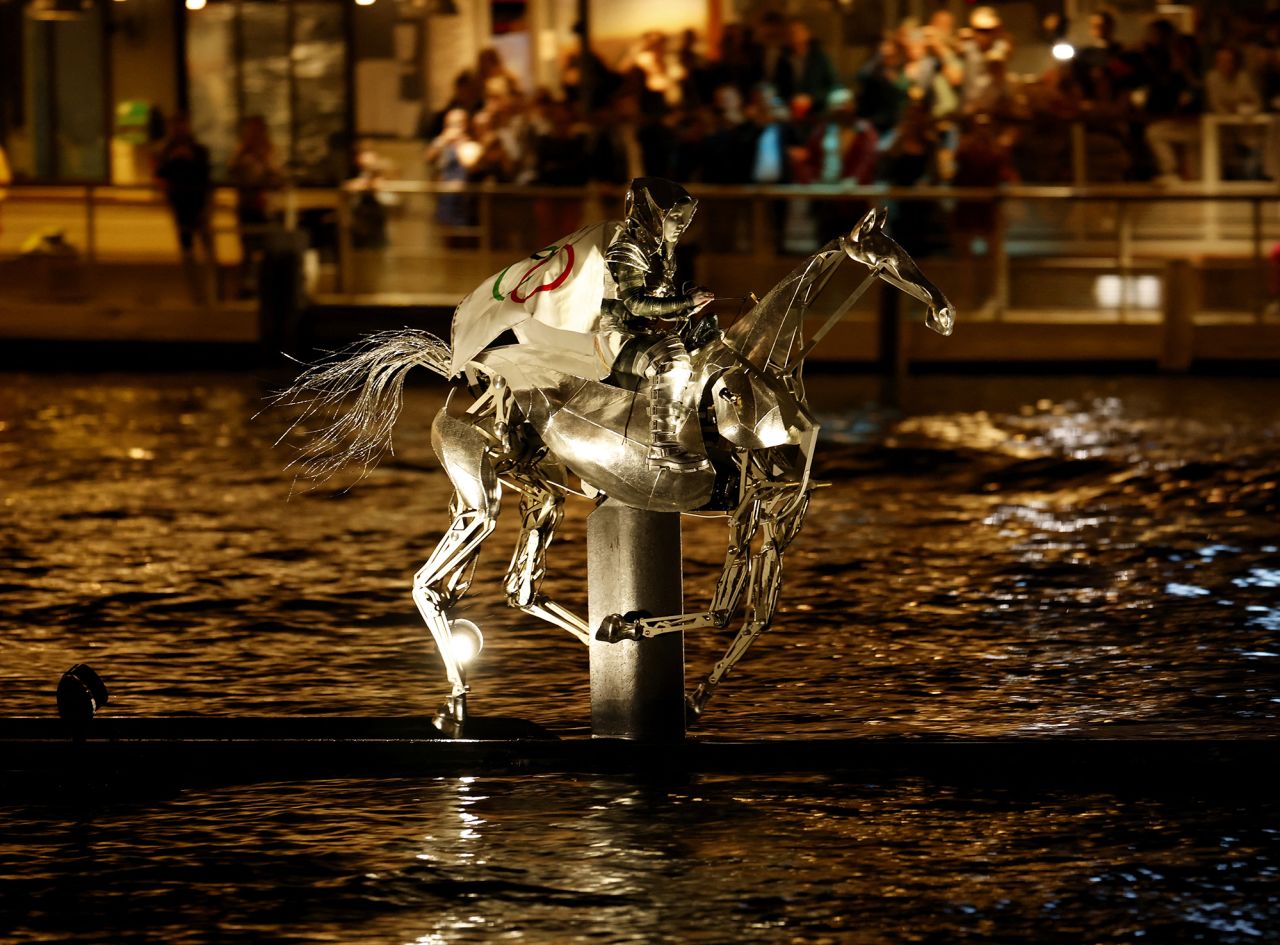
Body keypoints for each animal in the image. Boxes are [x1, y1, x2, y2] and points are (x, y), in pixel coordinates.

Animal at [282, 206, 962, 727]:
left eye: (909, 247)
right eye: (888, 252)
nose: (944, 311)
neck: (760, 368)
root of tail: (461, 372)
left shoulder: (774, 510)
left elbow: (757, 614)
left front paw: (691, 695)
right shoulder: (751, 506)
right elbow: (727, 607)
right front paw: (638, 640)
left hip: (536, 496)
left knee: (511, 588)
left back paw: (572, 646)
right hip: (480, 500)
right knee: (431, 587)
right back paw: (461, 694)